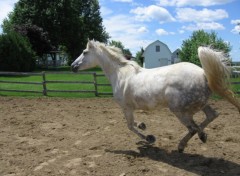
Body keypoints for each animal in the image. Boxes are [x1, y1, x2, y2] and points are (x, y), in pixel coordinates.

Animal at [71, 40, 240, 153]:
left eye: (85, 52)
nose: (73, 66)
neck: (119, 74)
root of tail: (204, 74)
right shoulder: (130, 108)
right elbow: (134, 124)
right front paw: (143, 125)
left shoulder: (126, 108)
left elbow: (130, 126)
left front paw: (149, 138)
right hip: (200, 104)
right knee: (211, 116)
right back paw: (202, 136)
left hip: (180, 110)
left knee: (193, 127)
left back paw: (183, 145)